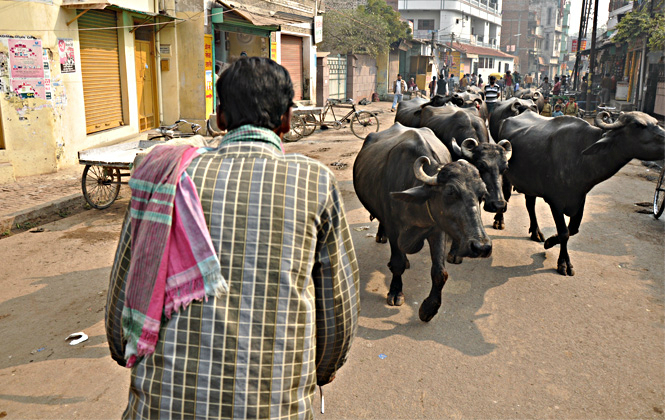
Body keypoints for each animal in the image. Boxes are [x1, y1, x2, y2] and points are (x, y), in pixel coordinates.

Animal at [356, 123, 490, 320]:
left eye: (482, 194)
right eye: (450, 191)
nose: (481, 247)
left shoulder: (437, 229)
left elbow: (440, 272)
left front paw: (429, 308)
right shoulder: (394, 228)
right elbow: (396, 262)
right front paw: (395, 292)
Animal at [490, 111, 660, 276]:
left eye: (656, 122)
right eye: (638, 125)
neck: (580, 156)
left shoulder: (579, 198)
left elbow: (573, 229)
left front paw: (550, 241)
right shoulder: (555, 202)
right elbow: (564, 232)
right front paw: (563, 263)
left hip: (529, 183)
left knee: (530, 204)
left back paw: (536, 232)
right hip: (507, 175)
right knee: (505, 197)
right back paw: (499, 221)